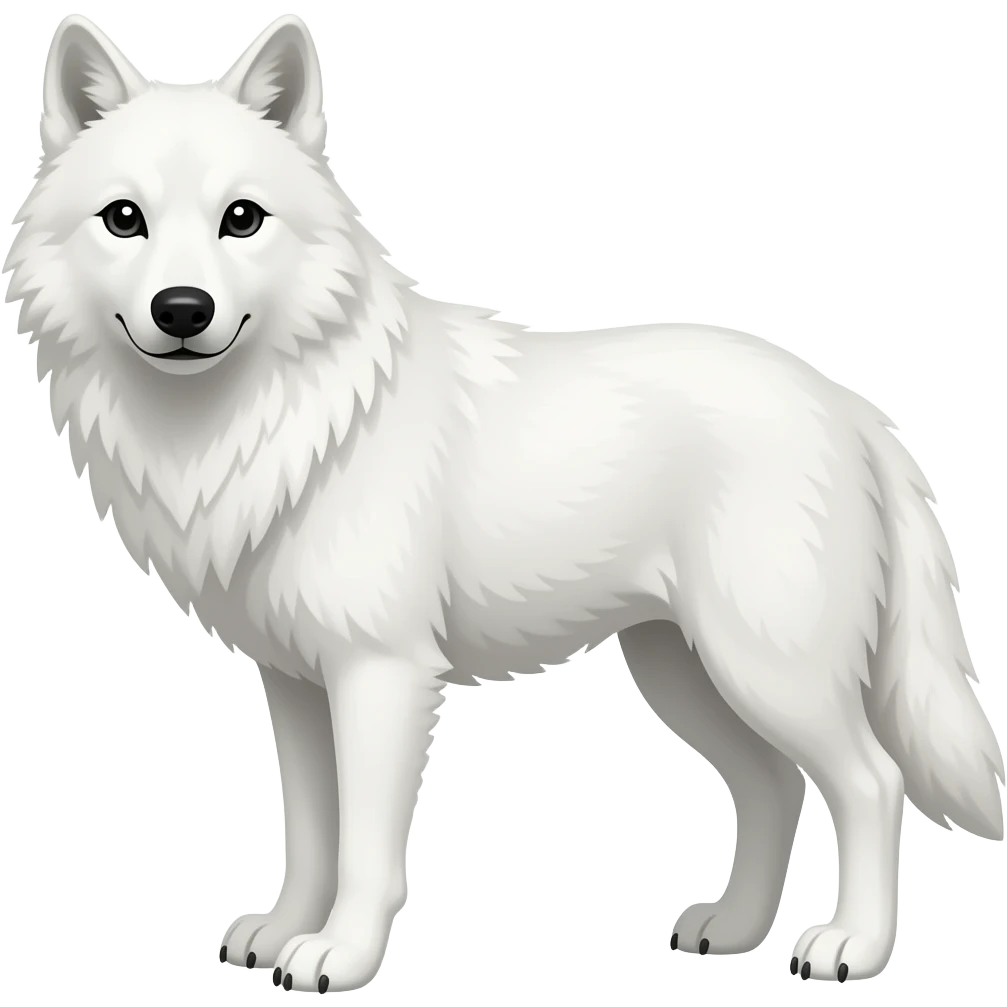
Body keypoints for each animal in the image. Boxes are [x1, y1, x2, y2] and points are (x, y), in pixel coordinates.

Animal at [6, 11, 1002, 993]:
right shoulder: (294, 683)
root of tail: (852, 405)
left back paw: (851, 947)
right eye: (124, 220)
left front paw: (339, 956)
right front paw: (283, 933)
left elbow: (365, 849)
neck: (270, 422)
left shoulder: (380, 674)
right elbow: (310, 834)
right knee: (772, 785)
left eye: (240, 219)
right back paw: (732, 929)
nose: (182, 309)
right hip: (683, 671)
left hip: (766, 666)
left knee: (870, 781)